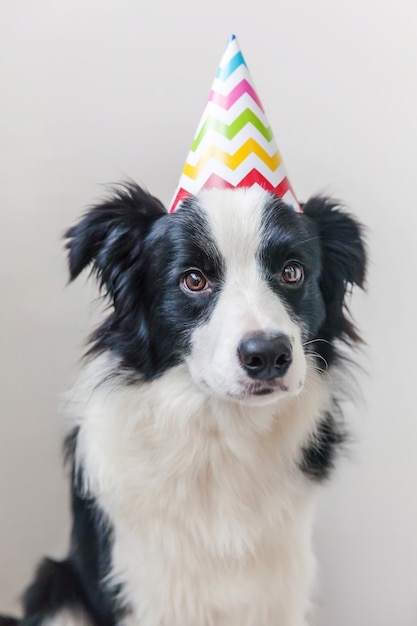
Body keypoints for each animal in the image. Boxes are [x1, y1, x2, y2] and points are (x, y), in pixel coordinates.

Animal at [0, 184, 364, 624]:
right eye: (193, 280)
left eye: (292, 272)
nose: (268, 355)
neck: (223, 434)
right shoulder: (149, 588)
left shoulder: (279, 587)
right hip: (56, 586)